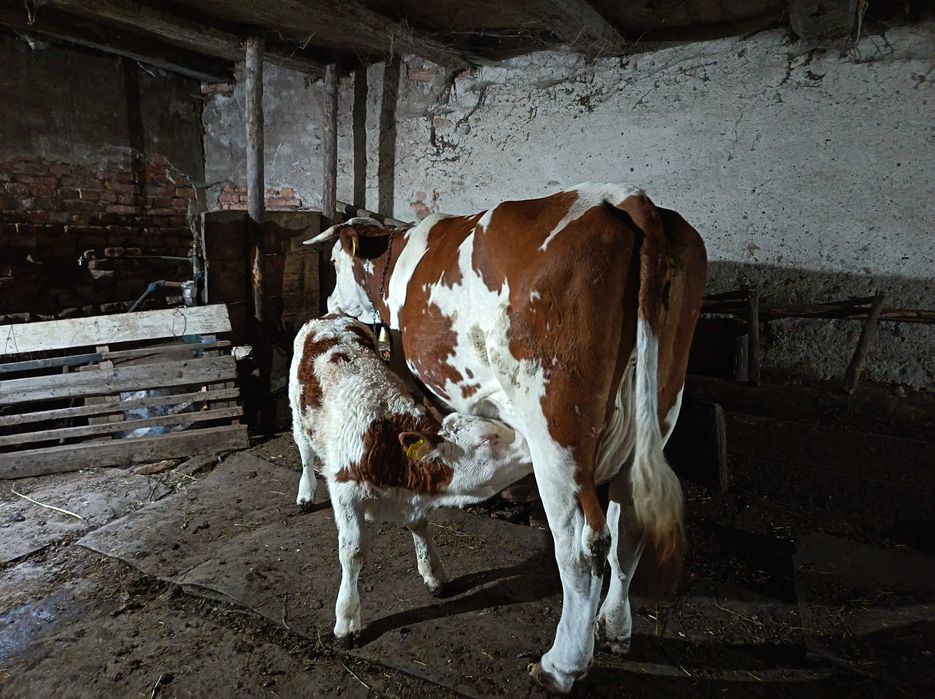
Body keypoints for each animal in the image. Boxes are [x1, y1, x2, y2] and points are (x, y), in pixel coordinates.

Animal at [288, 314, 532, 646]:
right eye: (487, 441)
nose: (531, 443)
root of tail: (330, 317)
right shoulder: (345, 494)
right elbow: (353, 553)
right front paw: (347, 618)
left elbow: (419, 526)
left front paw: (433, 573)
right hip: (297, 415)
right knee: (304, 453)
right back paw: (306, 493)